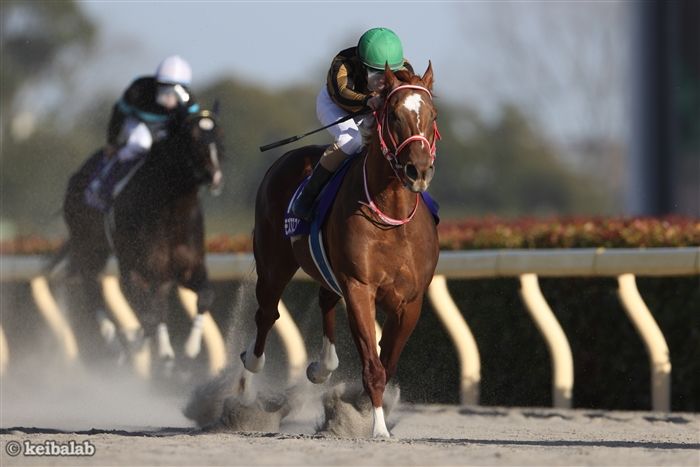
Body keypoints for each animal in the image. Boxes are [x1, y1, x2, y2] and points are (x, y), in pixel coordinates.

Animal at [51, 110, 224, 371]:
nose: (214, 175)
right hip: (89, 248)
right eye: (193, 137)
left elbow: (206, 296)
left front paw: (189, 349)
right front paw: (133, 348)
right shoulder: (135, 269)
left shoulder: (189, 268)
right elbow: (149, 317)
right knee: (93, 289)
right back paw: (115, 343)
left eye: (219, 134)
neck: (171, 213)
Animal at [240, 63, 439, 437]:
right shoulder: (359, 287)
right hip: (273, 264)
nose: (418, 170)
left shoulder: (411, 300)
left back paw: (322, 366)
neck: (392, 219)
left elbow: (388, 361)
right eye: (393, 115)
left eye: (432, 115)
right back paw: (246, 383)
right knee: (266, 314)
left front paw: (360, 408)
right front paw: (378, 428)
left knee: (325, 299)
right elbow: (373, 366)